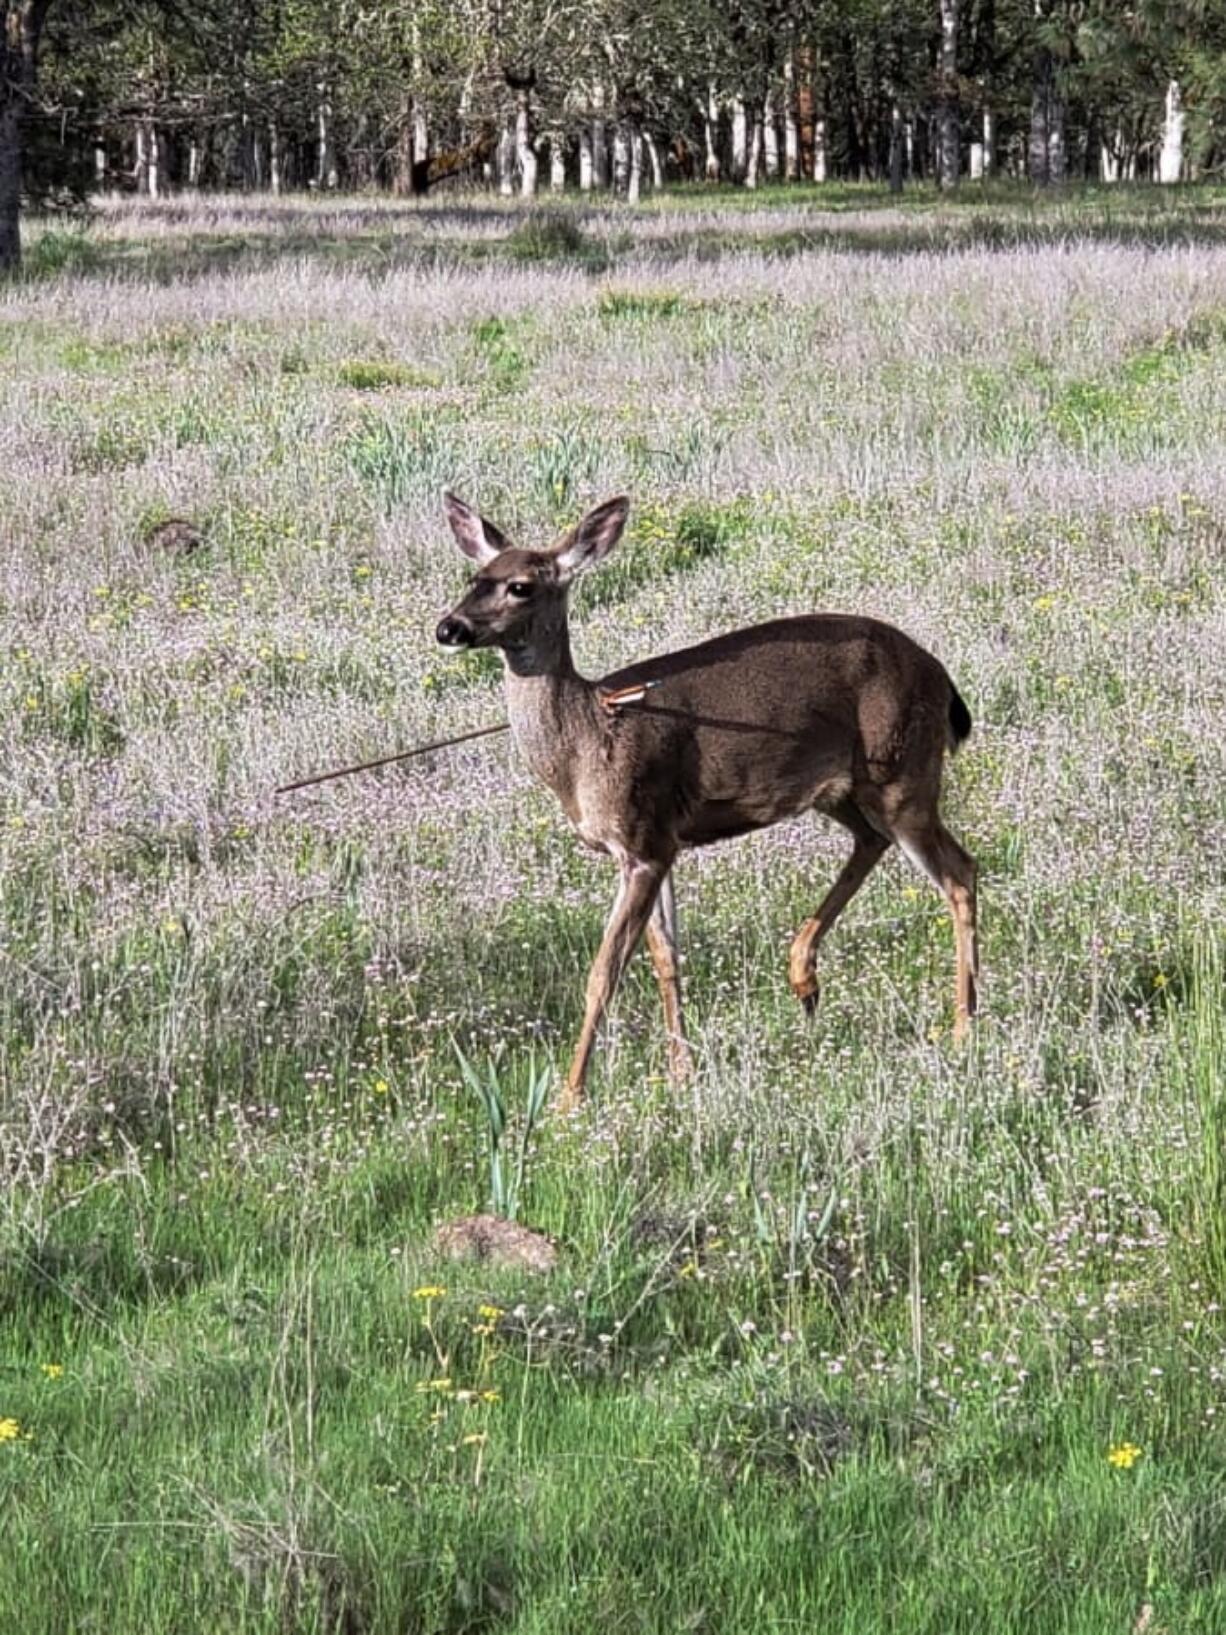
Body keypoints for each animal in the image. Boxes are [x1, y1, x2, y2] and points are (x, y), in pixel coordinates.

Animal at [438, 493, 987, 1111]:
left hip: (903, 771)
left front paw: (568, 1098)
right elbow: (665, 958)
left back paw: (962, 1025)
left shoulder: (642, 838)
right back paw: (805, 976)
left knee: (959, 872)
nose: (448, 627)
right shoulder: (659, 841)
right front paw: (682, 1072)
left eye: (521, 586)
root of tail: (940, 675)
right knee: (874, 842)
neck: (586, 741)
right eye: (474, 578)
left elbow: (604, 971)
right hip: (845, 788)